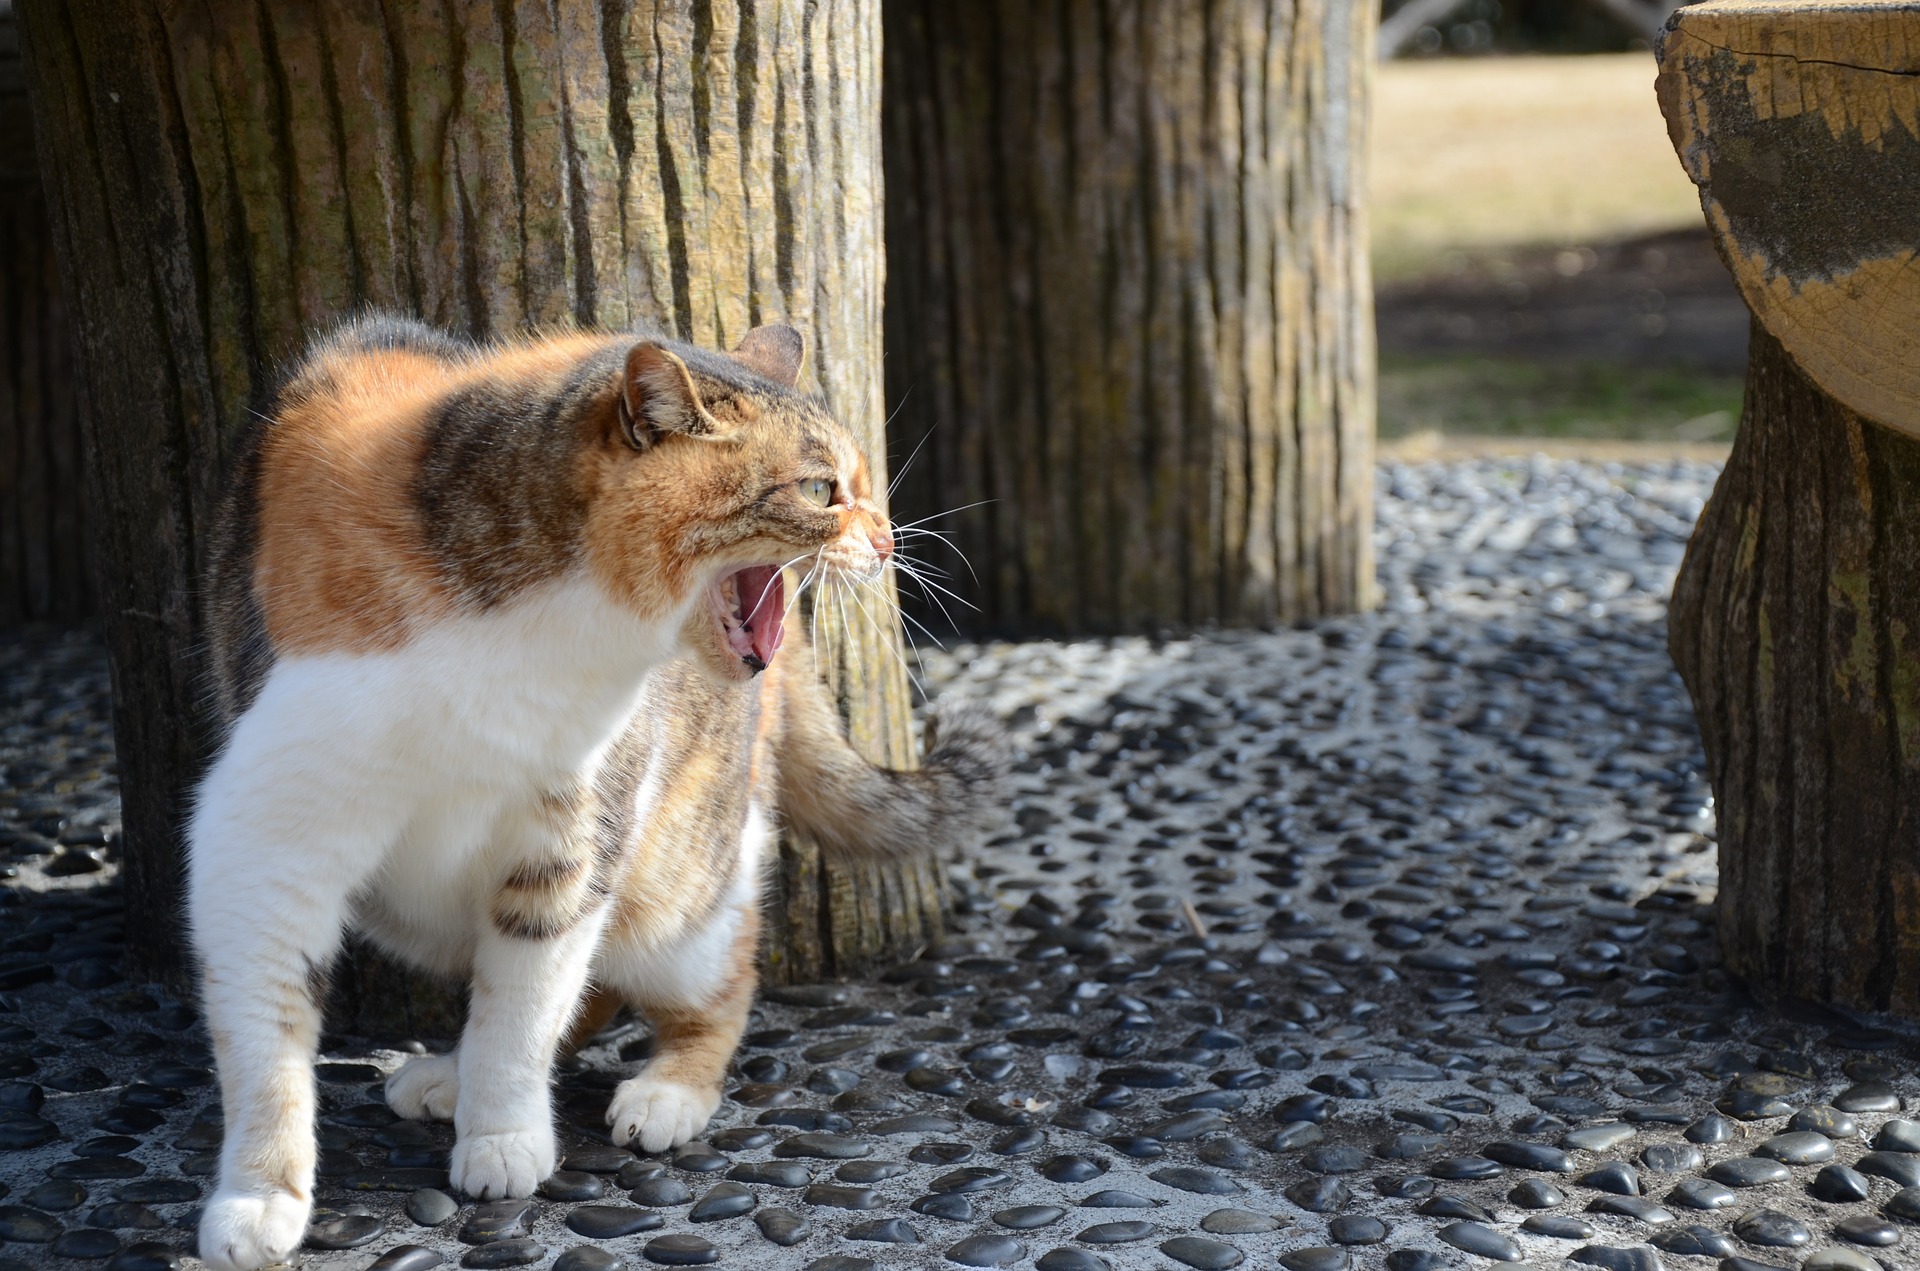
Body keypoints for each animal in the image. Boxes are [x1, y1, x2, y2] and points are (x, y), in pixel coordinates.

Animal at [191, 311, 1006, 1271]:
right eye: (818, 487)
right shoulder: (267, 841)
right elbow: (266, 1037)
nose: (887, 542)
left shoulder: (571, 835)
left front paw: (503, 1137)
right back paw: (451, 1072)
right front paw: (258, 1196)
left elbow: (525, 1007)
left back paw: (664, 1091)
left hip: (682, 883)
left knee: (708, 982)